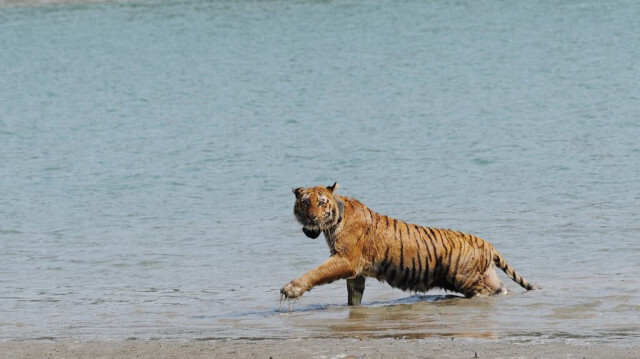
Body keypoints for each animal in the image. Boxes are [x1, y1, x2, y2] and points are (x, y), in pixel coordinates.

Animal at [282, 183, 536, 304]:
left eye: (321, 203)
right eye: (305, 203)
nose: (311, 218)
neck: (334, 221)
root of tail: (487, 243)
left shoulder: (346, 260)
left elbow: (317, 272)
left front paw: (291, 289)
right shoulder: (356, 273)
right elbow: (353, 297)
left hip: (464, 278)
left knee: (483, 293)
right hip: (486, 277)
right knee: (502, 289)